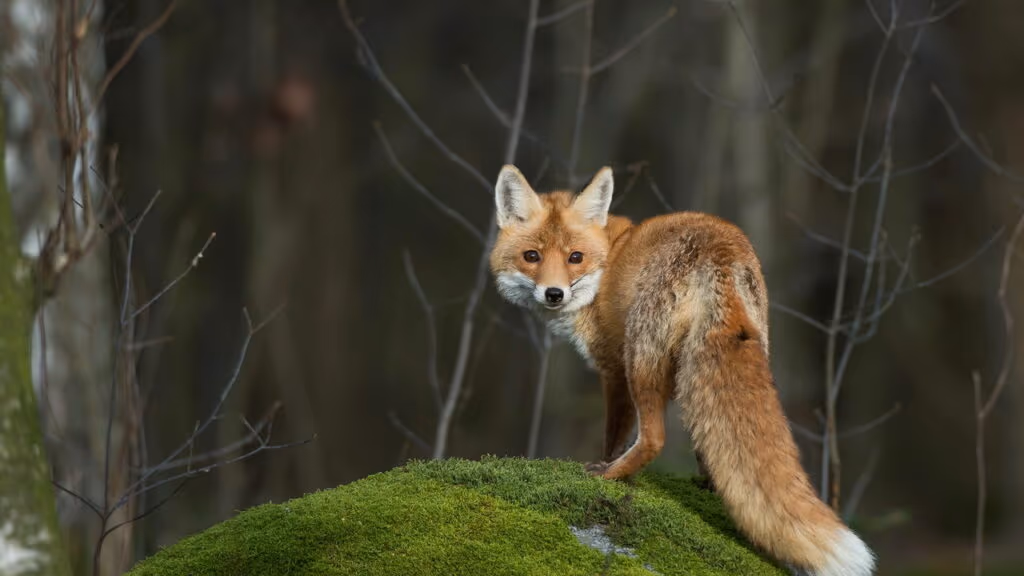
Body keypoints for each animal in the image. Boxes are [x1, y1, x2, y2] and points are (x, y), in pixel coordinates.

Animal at [488, 165, 875, 576]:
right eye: (532, 256)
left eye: (575, 257)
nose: (554, 293)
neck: (608, 259)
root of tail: (722, 249)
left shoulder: (613, 368)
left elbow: (613, 436)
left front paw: (606, 463)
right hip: (715, 366)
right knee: (713, 442)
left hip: (641, 359)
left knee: (654, 438)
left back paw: (611, 476)